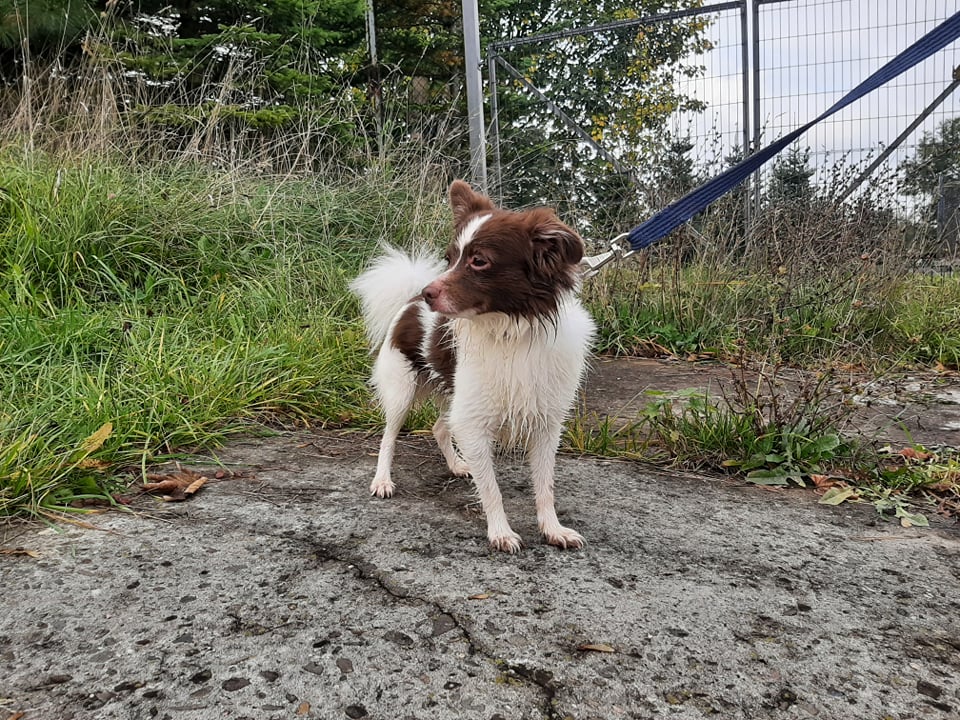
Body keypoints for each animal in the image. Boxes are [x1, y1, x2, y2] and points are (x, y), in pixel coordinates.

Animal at [349, 180, 595, 552]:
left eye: (479, 261)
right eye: (449, 259)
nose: (428, 294)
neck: (511, 333)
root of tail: (408, 299)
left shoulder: (545, 424)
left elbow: (545, 485)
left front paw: (552, 528)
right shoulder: (474, 421)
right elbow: (491, 487)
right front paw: (501, 531)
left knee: (439, 427)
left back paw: (456, 465)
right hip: (402, 391)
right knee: (388, 436)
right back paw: (382, 480)